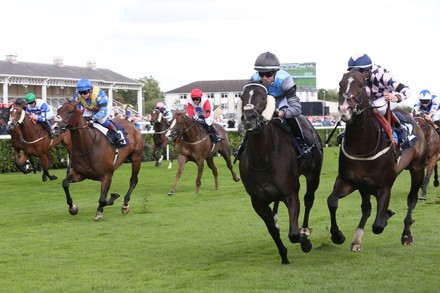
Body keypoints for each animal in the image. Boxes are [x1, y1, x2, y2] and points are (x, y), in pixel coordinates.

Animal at [239, 82, 324, 262]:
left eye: (263, 97)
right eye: (242, 97)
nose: (249, 117)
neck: (263, 159)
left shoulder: (290, 194)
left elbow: (293, 233)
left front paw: (305, 240)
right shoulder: (257, 201)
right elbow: (272, 229)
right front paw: (284, 254)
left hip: (313, 175)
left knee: (309, 199)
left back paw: (305, 229)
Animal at [330, 69, 426, 251]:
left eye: (361, 85)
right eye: (340, 84)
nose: (344, 109)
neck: (363, 146)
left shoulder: (384, 187)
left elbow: (378, 226)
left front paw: (386, 215)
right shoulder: (349, 181)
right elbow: (333, 202)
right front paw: (337, 235)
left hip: (417, 169)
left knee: (412, 199)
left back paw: (406, 234)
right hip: (364, 186)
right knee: (366, 208)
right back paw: (357, 239)